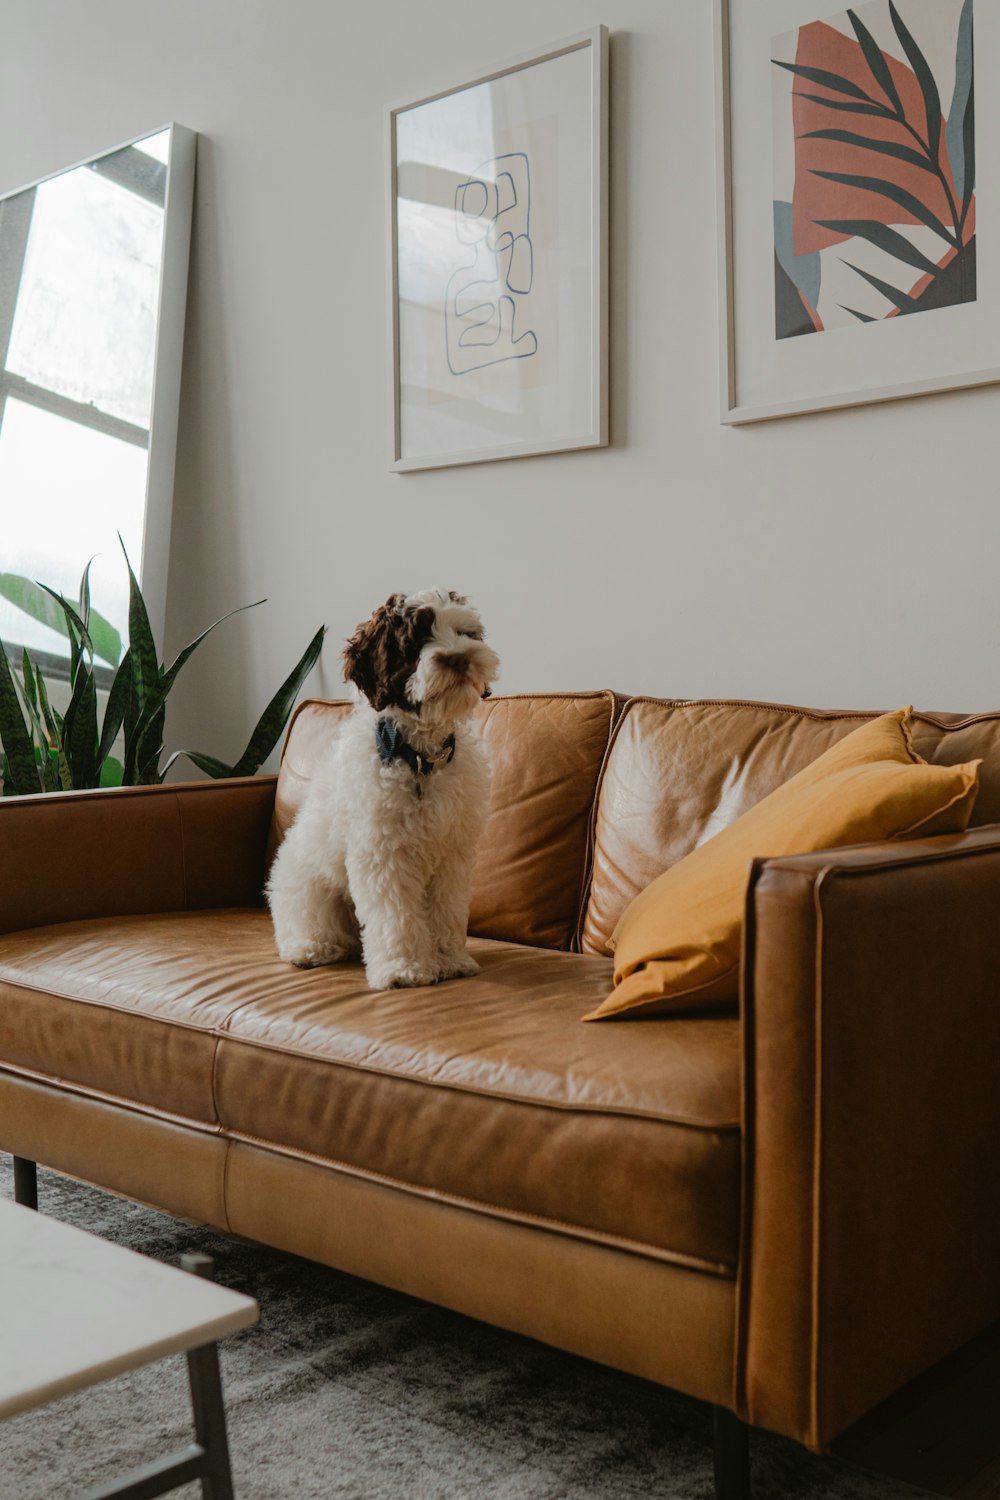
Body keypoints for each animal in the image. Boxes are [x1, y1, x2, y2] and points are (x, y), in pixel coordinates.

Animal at [265, 591, 500, 990]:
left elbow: (447, 910)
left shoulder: (452, 855)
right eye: (415, 642)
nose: (458, 658)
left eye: (463, 632)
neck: (420, 758)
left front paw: (449, 960)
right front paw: (405, 968)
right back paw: (311, 948)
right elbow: (397, 916)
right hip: (308, 888)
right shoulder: (385, 853)